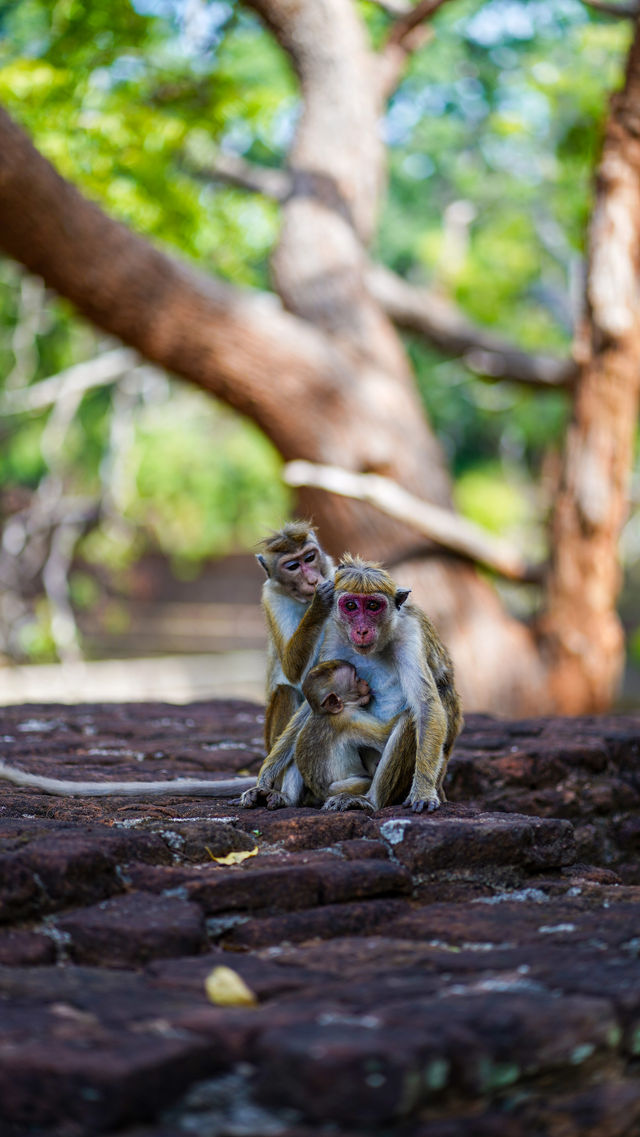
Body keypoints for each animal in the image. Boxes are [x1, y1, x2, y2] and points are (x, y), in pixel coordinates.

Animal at [295, 659, 400, 809]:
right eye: (356, 679)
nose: (365, 682)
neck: (326, 714)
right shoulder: (350, 718)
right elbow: (385, 737)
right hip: (339, 788)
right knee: (364, 781)